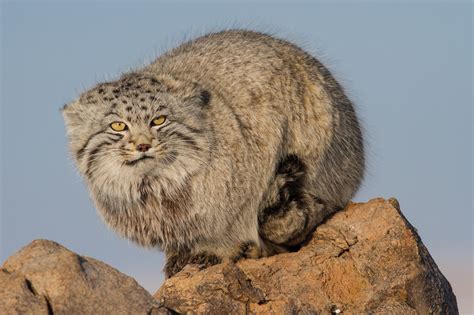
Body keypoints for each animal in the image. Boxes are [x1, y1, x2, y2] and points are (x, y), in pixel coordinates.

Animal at [60, 29, 362, 276]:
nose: (143, 145)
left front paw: (215, 251)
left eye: (159, 120)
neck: (158, 189)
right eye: (118, 125)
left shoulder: (244, 186)